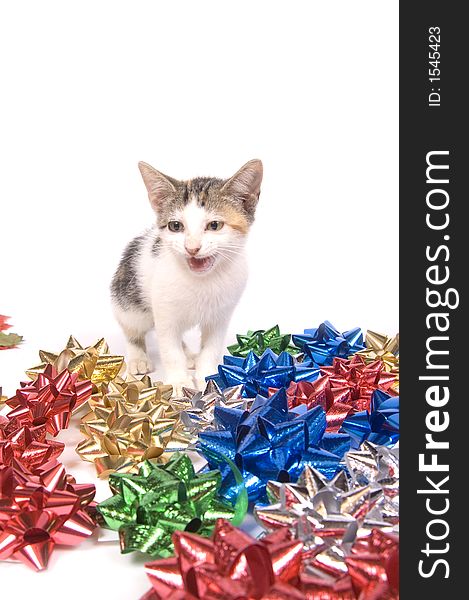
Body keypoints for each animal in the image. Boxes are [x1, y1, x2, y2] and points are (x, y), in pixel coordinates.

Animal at [111, 159, 262, 394]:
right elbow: (169, 348)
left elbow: (211, 347)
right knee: (134, 328)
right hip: (129, 299)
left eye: (214, 225)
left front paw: (208, 377)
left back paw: (190, 355)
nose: (192, 248)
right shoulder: (163, 309)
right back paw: (138, 357)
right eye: (175, 226)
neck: (201, 280)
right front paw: (179, 382)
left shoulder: (221, 315)